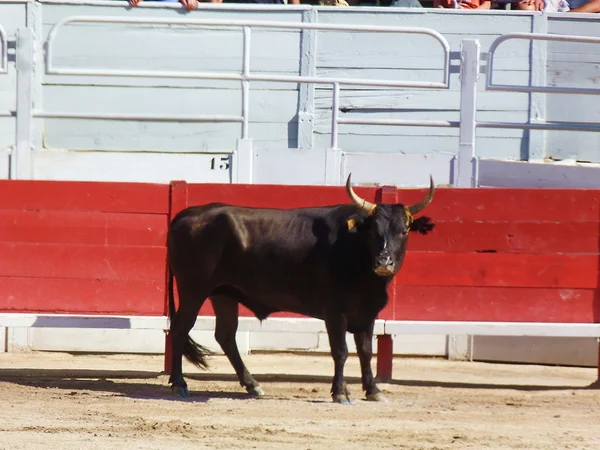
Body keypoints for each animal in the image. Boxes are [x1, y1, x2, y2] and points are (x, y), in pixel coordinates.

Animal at [166, 173, 434, 404]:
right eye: (373, 232)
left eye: (404, 230)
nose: (383, 262)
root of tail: (190, 212)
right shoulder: (335, 313)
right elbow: (341, 351)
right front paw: (340, 392)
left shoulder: (368, 313)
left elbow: (366, 352)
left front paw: (373, 391)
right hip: (193, 289)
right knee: (181, 328)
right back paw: (179, 384)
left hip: (223, 293)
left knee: (225, 335)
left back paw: (253, 385)